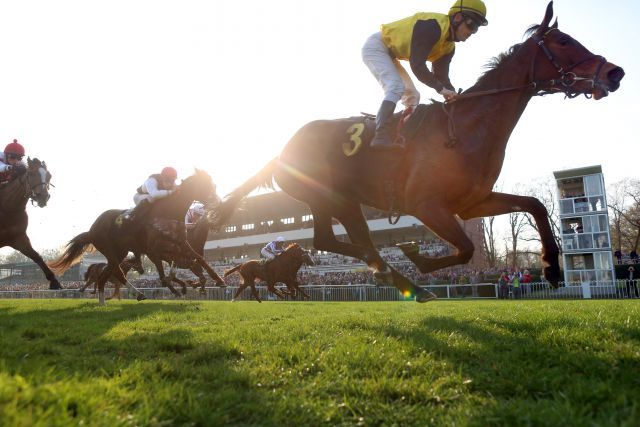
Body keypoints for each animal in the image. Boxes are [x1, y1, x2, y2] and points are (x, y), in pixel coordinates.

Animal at [0, 158, 60, 290]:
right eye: (31, 174)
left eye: (49, 176)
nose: (43, 197)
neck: (7, 207)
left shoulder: (19, 237)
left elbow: (36, 256)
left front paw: (54, 282)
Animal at [49, 169, 222, 306]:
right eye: (206, 186)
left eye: (214, 185)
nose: (218, 202)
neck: (168, 212)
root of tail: (92, 229)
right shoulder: (153, 250)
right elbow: (163, 275)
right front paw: (178, 288)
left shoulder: (181, 244)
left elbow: (199, 258)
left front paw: (219, 280)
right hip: (109, 250)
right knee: (113, 274)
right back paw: (110, 299)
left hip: (120, 253)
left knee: (109, 274)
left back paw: (113, 298)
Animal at [211, 3, 624, 304]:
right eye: (564, 42)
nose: (615, 73)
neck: (468, 126)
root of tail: (282, 151)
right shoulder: (426, 204)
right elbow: (465, 248)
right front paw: (417, 256)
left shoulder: (472, 203)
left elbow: (534, 205)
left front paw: (552, 268)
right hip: (335, 197)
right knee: (346, 241)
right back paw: (397, 273)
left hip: (331, 201)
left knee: (332, 241)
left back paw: (391, 273)